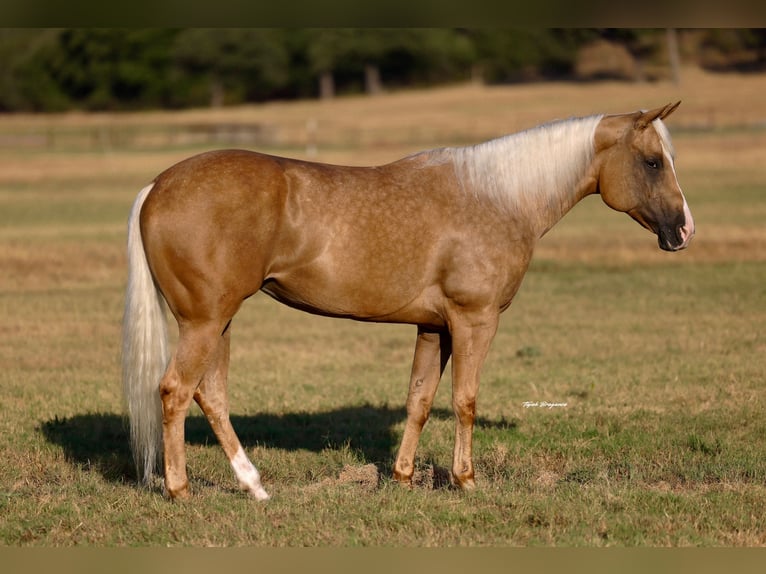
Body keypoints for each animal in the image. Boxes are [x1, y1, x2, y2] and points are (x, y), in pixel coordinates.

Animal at [122, 102, 694, 500]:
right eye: (652, 162)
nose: (683, 230)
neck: (497, 197)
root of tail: (156, 186)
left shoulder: (434, 328)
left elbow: (419, 400)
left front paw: (402, 478)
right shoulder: (473, 321)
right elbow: (464, 400)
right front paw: (465, 480)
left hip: (218, 321)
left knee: (211, 396)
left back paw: (255, 486)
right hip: (205, 321)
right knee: (176, 392)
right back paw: (181, 490)